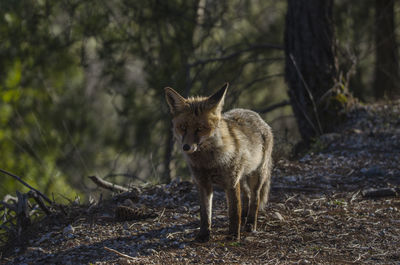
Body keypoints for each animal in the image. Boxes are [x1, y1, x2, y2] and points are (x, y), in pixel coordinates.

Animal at [164, 83, 274, 241]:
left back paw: (250, 223)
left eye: (200, 129)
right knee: (246, 196)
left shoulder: (231, 183)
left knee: (255, 198)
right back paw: (245, 216)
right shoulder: (203, 184)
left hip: (256, 176)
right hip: (242, 178)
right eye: (183, 127)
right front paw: (203, 235)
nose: (186, 147)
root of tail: (254, 114)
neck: (208, 163)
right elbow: (205, 214)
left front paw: (234, 235)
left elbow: (234, 212)